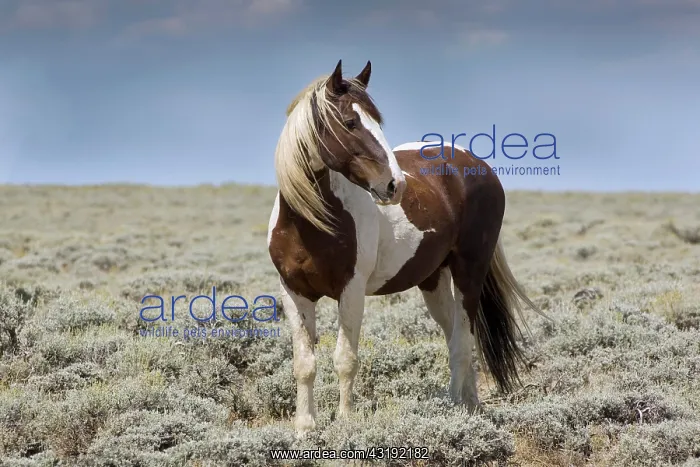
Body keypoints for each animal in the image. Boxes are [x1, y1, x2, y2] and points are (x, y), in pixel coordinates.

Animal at [267, 59, 541, 436]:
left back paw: (455, 409)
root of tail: (480, 167)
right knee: (456, 334)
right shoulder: (294, 292)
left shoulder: (351, 291)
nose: (395, 185)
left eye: (377, 121)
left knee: (463, 339)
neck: (310, 221)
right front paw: (305, 428)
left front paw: (346, 422)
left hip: (469, 272)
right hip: (434, 279)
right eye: (350, 122)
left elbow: (345, 359)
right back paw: (470, 404)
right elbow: (304, 363)